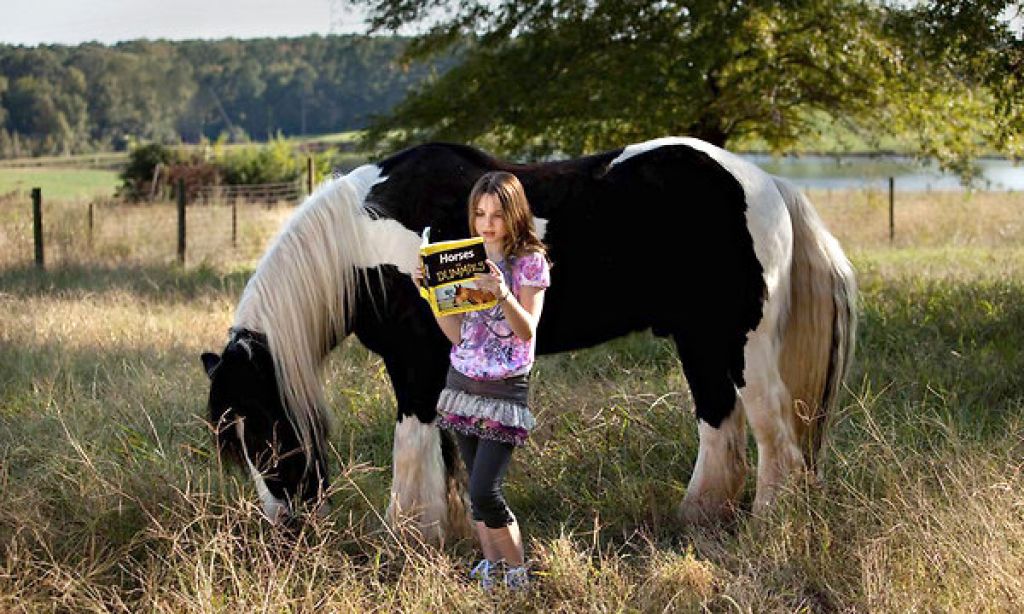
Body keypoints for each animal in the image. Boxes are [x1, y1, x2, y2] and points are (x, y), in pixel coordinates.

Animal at [199, 137, 856, 540]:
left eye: (260, 432)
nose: (286, 526)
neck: (361, 240)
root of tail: (767, 183)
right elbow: (445, 448)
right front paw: (454, 530)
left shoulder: (414, 366)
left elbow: (413, 445)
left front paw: (409, 533)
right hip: (701, 340)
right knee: (720, 421)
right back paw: (698, 517)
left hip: (743, 344)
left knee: (774, 431)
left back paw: (768, 525)